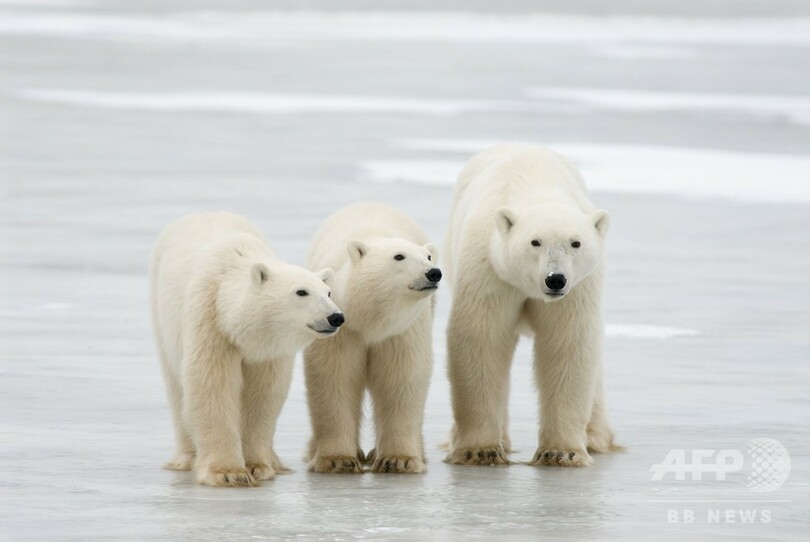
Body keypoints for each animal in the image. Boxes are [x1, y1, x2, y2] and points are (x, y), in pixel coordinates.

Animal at [150, 212, 342, 488]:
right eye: (301, 291)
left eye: (328, 291)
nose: (336, 317)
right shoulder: (210, 323)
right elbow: (212, 386)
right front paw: (228, 472)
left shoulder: (268, 350)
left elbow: (264, 394)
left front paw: (257, 466)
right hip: (162, 313)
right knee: (176, 386)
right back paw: (186, 458)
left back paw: (276, 462)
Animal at [304, 203, 442, 476]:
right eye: (399, 256)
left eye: (428, 257)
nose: (433, 273)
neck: (370, 319)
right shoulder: (343, 330)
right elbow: (334, 376)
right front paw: (337, 460)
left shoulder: (401, 331)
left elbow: (401, 377)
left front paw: (399, 460)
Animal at [442, 146, 620, 472]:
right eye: (535, 242)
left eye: (576, 243)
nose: (555, 279)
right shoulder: (490, 268)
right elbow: (482, 338)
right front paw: (479, 450)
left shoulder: (578, 288)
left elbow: (567, 343)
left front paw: (563, 453)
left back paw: (595, 437)